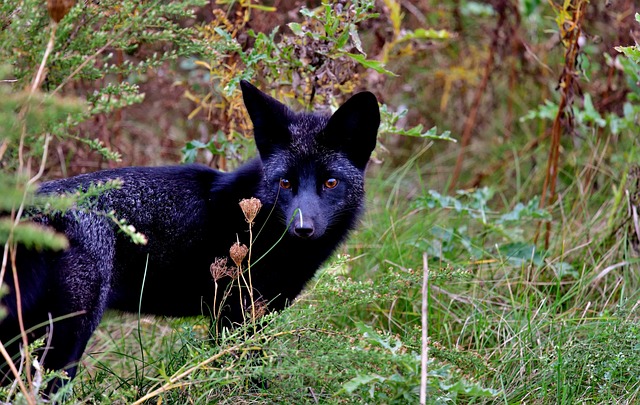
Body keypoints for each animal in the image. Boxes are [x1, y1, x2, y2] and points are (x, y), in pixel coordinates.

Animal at [0, 81, 380, 388]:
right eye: (285, 183)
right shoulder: (236, 313)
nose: (303, 229)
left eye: (330, 182)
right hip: (68, 335)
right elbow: (246, 374)